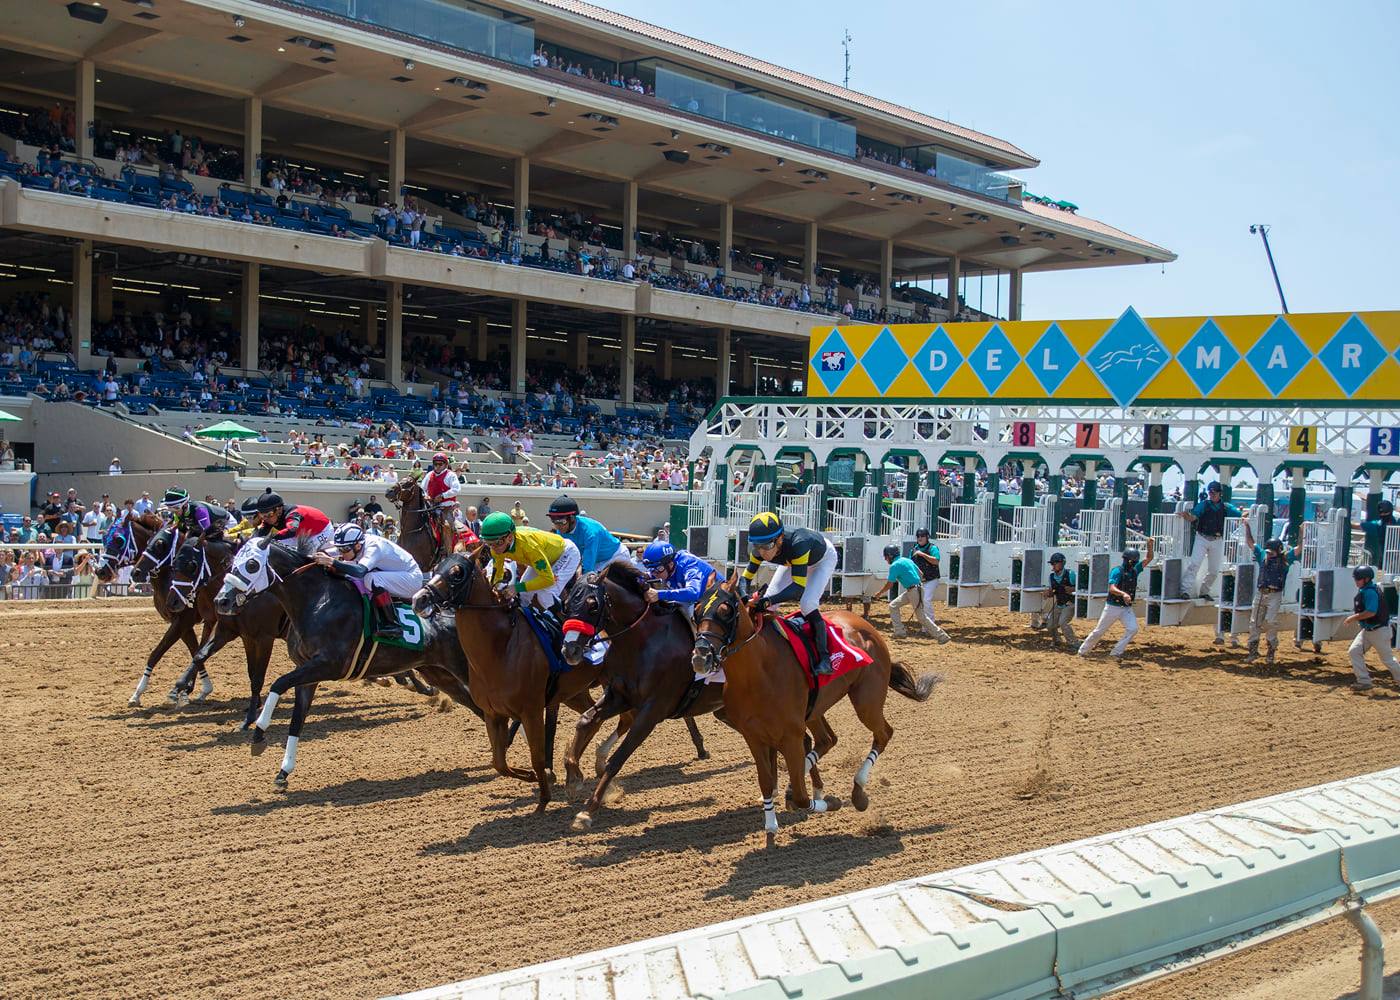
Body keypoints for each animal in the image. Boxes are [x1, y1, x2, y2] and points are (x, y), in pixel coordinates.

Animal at [95, 515, 211, 708]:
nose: (100, 571)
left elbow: (156, 653)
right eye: (104, 538)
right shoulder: (181, 623)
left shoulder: (183, 620)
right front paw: (193, 689)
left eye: (119, 540)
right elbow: (196, 651)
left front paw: (137, 693)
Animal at [212, 537, 484, 784]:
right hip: (440, 674)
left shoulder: (328, 665)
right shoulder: (307, 672)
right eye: (232, 562)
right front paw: (283, 771)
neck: (317, 601)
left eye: (251, 565)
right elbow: (296, 720)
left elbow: (278, 683)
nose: (221, 601)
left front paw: (258, 735)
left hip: (464, 668)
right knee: (476, 705)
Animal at [408, 546, 599, 812]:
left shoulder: (531, 710)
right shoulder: (493, 713)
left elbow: (537, 757)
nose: (419, 599)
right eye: (436, 568)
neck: (501, 648)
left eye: (457, 572)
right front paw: (531, 776)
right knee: (594, 716)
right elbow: (499, 763)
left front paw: (543, 798)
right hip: (575, 693)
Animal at [557, 565, 728, 829]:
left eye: (593, 605)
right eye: (566, 604)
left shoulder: (652, 710)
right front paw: (574, 777)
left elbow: (618, 757)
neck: (643, 641)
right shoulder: (620, 696)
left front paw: (588, 810)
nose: (570, 650)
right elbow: (586, 721)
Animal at [691, 571, 935, 845]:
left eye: (725, 611)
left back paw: (858, 792)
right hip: (815, 710)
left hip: (866, 701)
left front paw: (830, 801)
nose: (700, 657)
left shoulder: (790, 734)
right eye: (697, 610)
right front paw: (771, 827)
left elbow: (801, 797)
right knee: (828, 739)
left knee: (883, 734)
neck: (757, 673)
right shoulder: (753, 736)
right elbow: (766, 781)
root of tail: (867, 627)